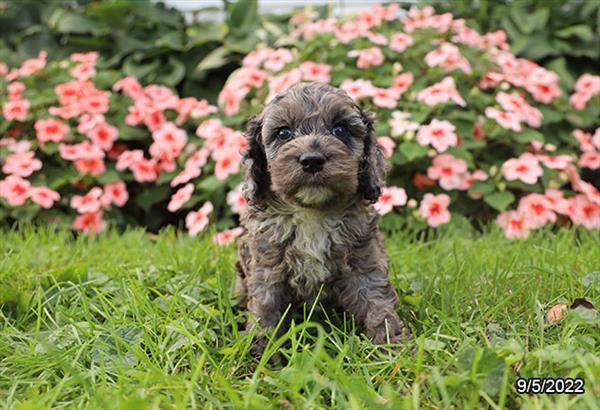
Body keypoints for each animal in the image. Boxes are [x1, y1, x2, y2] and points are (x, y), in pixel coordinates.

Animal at [234, 81, 408, 354]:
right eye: (284, 133)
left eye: (340, 130)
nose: (312, 160)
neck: (312, 213)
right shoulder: (268, 268)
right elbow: (266, 311)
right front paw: (261, 353)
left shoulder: (364, 260)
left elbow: (376, 302)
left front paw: (392, 348)